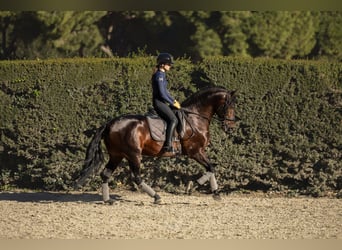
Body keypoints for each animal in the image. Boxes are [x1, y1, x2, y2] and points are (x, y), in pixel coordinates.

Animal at [75, 86, 236, 203]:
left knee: (106, 174)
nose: (230, 127)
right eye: (229, 106)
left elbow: (211, 168)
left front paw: (214, 193)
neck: (195, 118)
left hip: (117, 155)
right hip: (133, 154)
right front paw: (197, 184)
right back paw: (156, 197)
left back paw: (108, 200)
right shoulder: (195, 151)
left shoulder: (199, 152)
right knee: (136, 177)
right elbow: (211, 167)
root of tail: (110, 123)